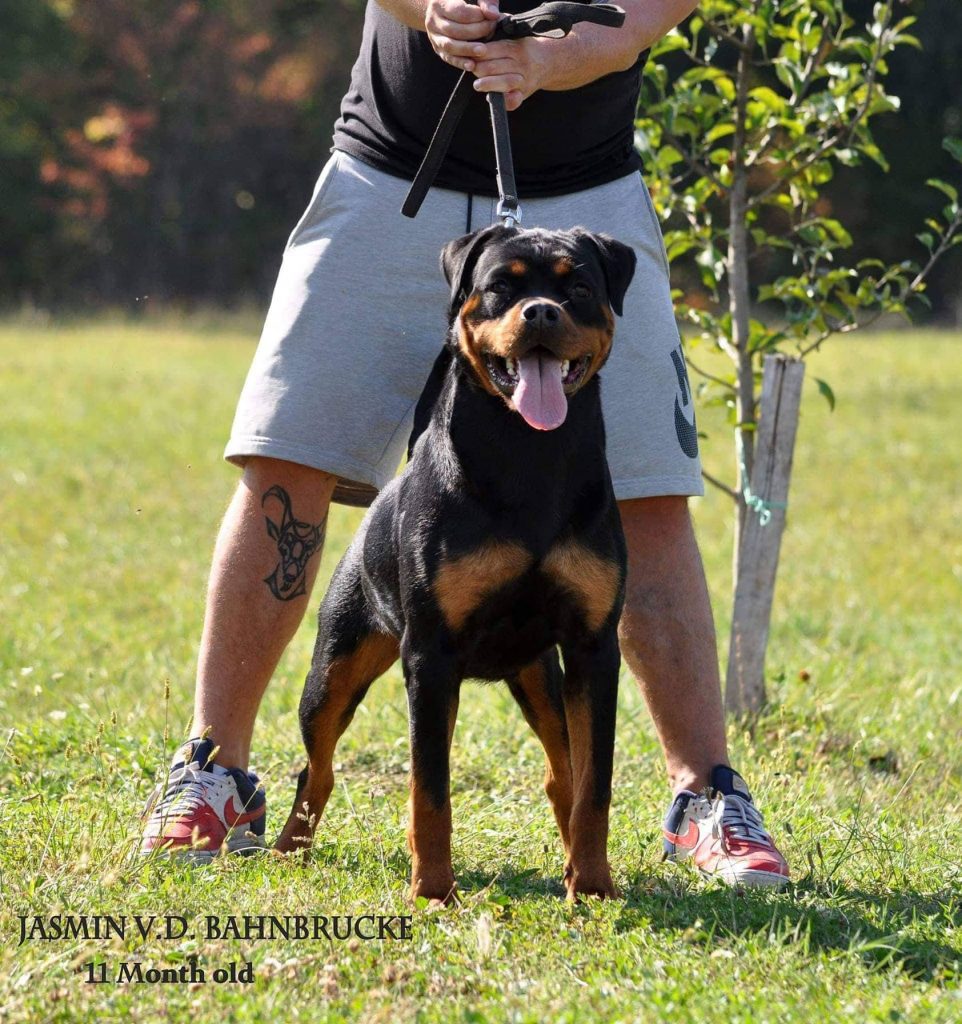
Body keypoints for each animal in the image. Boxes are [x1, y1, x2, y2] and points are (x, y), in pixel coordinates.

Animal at [276, 224, 639, 905]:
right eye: (500, 286)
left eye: (578, 287)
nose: (542, 312)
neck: (530, 456)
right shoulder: (431, 653)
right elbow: (429, 790)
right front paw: (432, 891)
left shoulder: (593, 648)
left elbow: (594, 785)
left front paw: (592, 885)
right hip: (335, 670)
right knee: (318, 768)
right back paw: (287, 850)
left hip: (538, 676)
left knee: (562, 774)